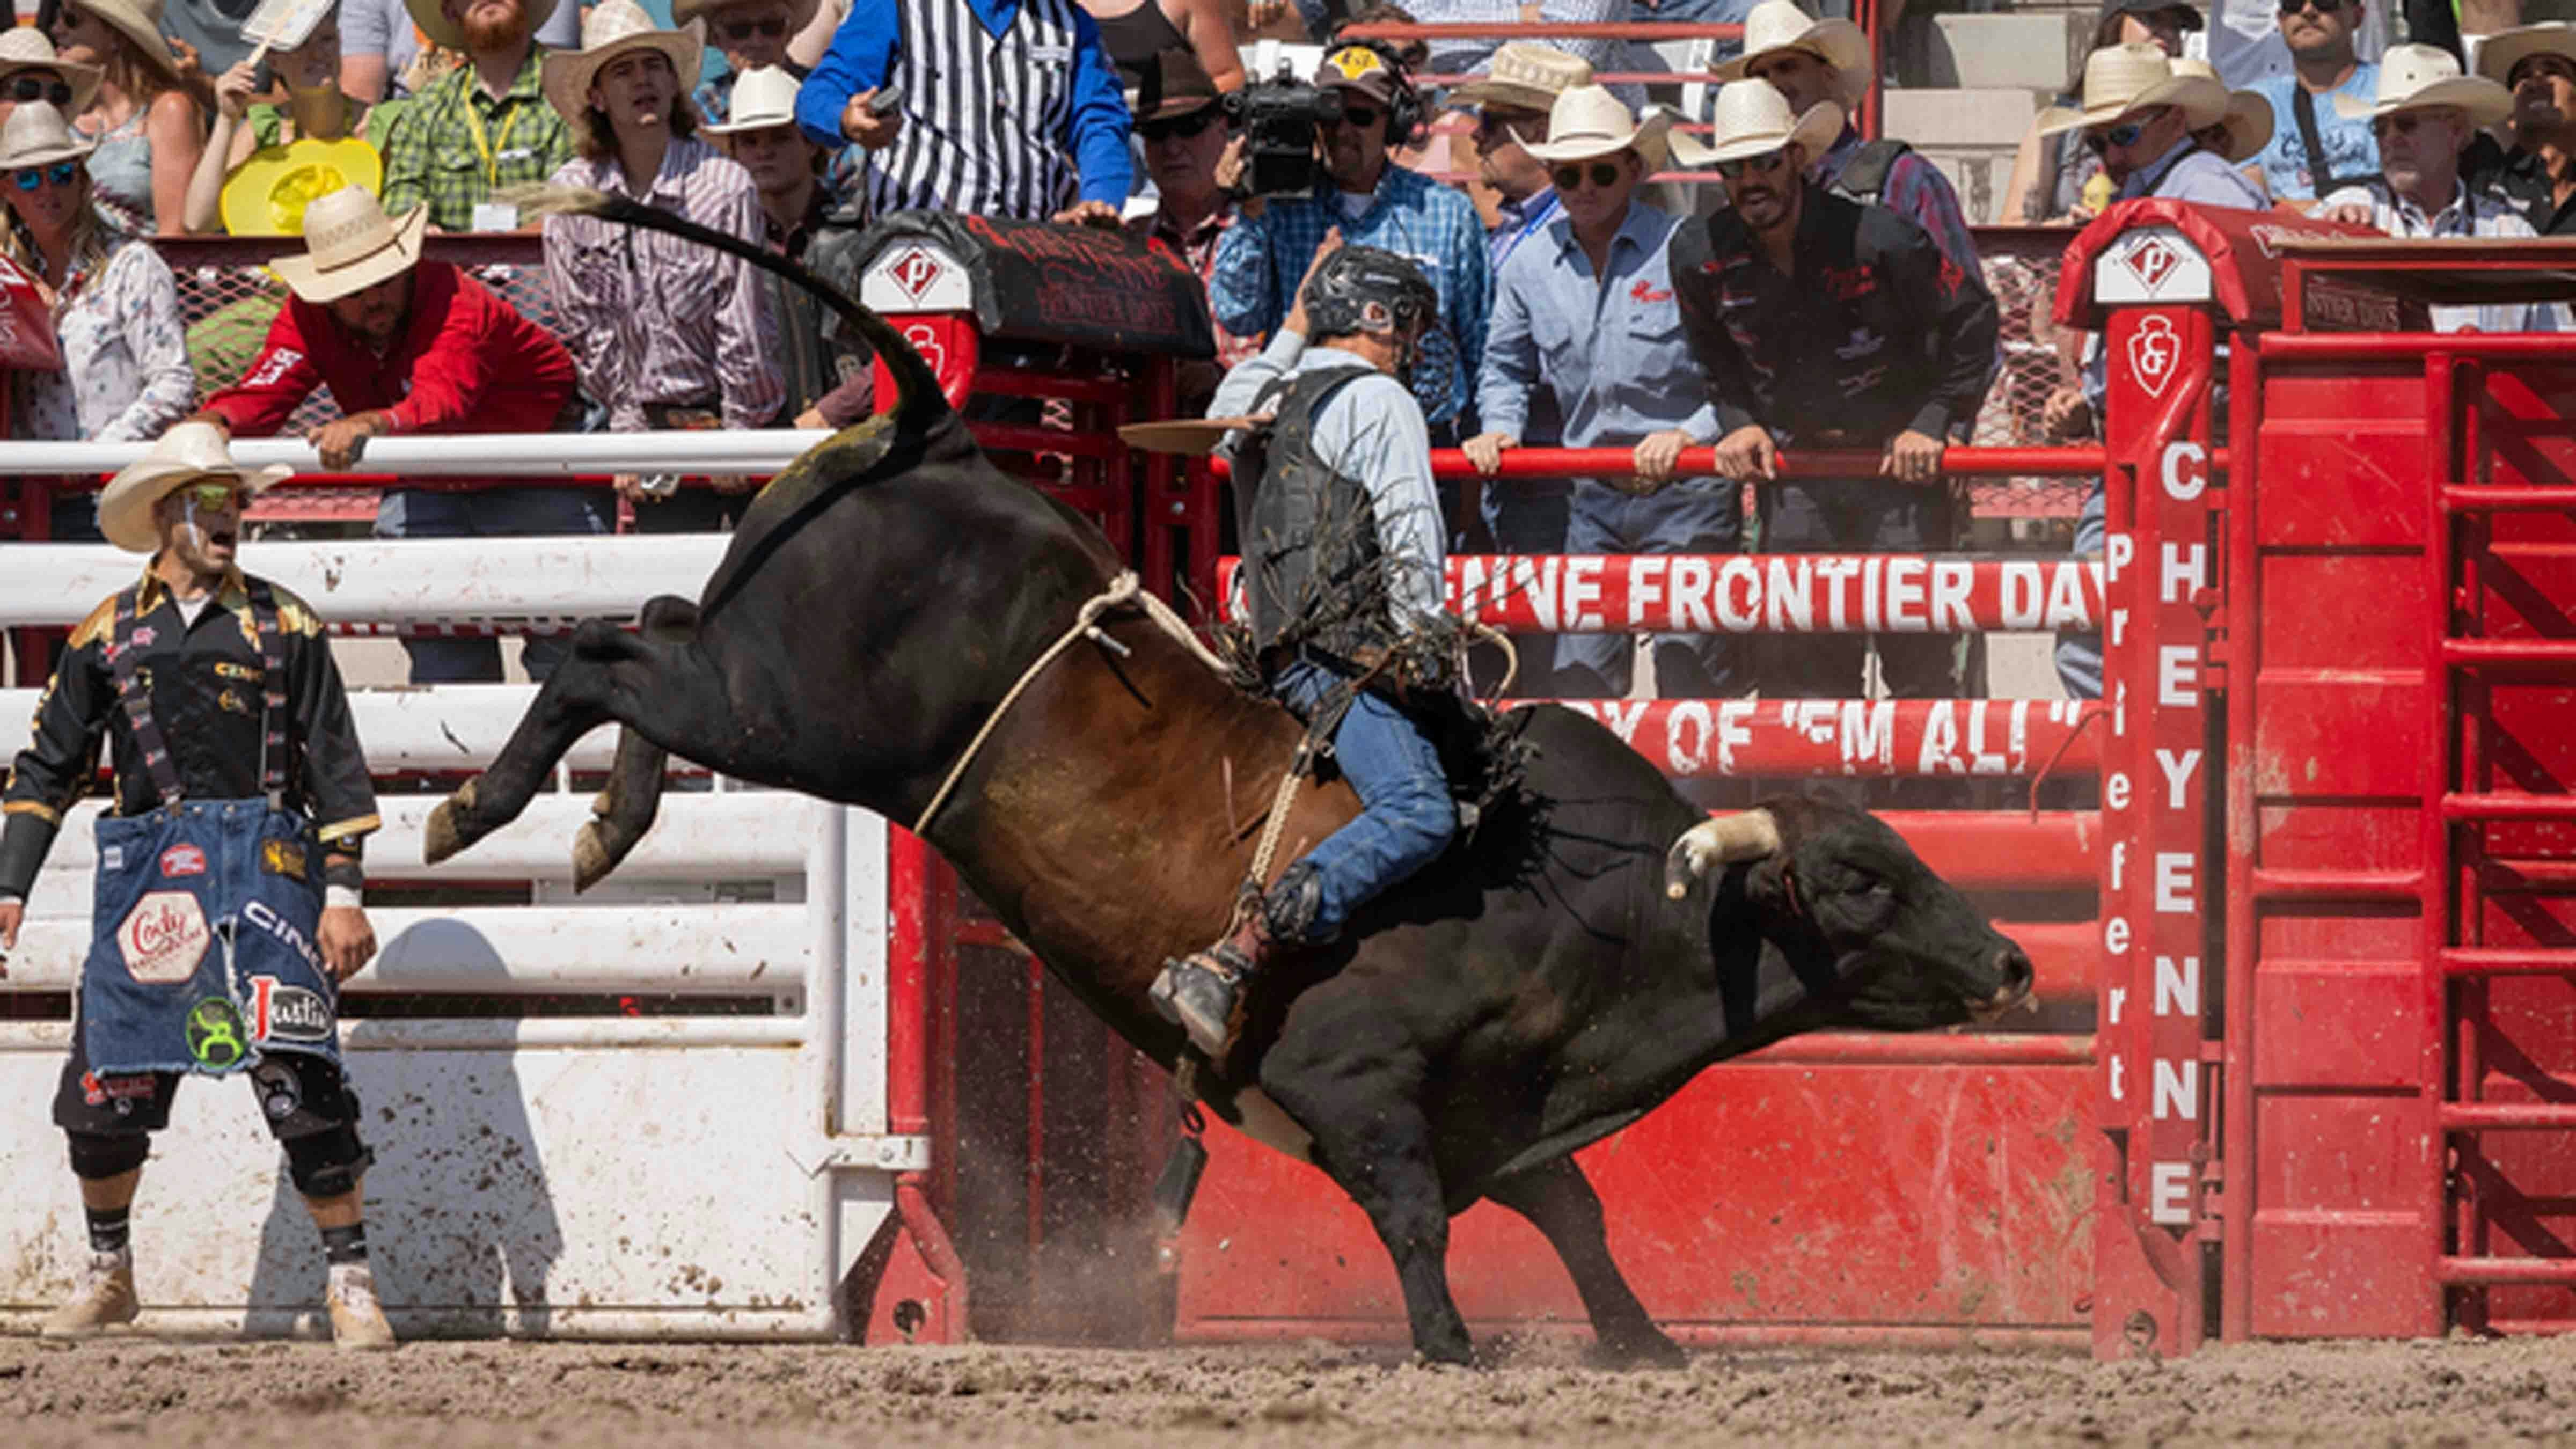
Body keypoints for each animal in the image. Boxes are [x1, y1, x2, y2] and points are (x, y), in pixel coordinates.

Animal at [433, 194, 2040, 1361]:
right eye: (1858, 877)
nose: (2015, 962)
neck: (1590, 905)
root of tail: (933, 423)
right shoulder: (1367, 1087)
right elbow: (1419, 1219)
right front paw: (1450, 1344)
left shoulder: (1509, 1112)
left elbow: (1575, 1213)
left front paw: (1642, 1342)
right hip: (789, 711)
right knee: (600, 659)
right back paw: (487, 810)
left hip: (753, 674)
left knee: (642, 629)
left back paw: (602, 819)